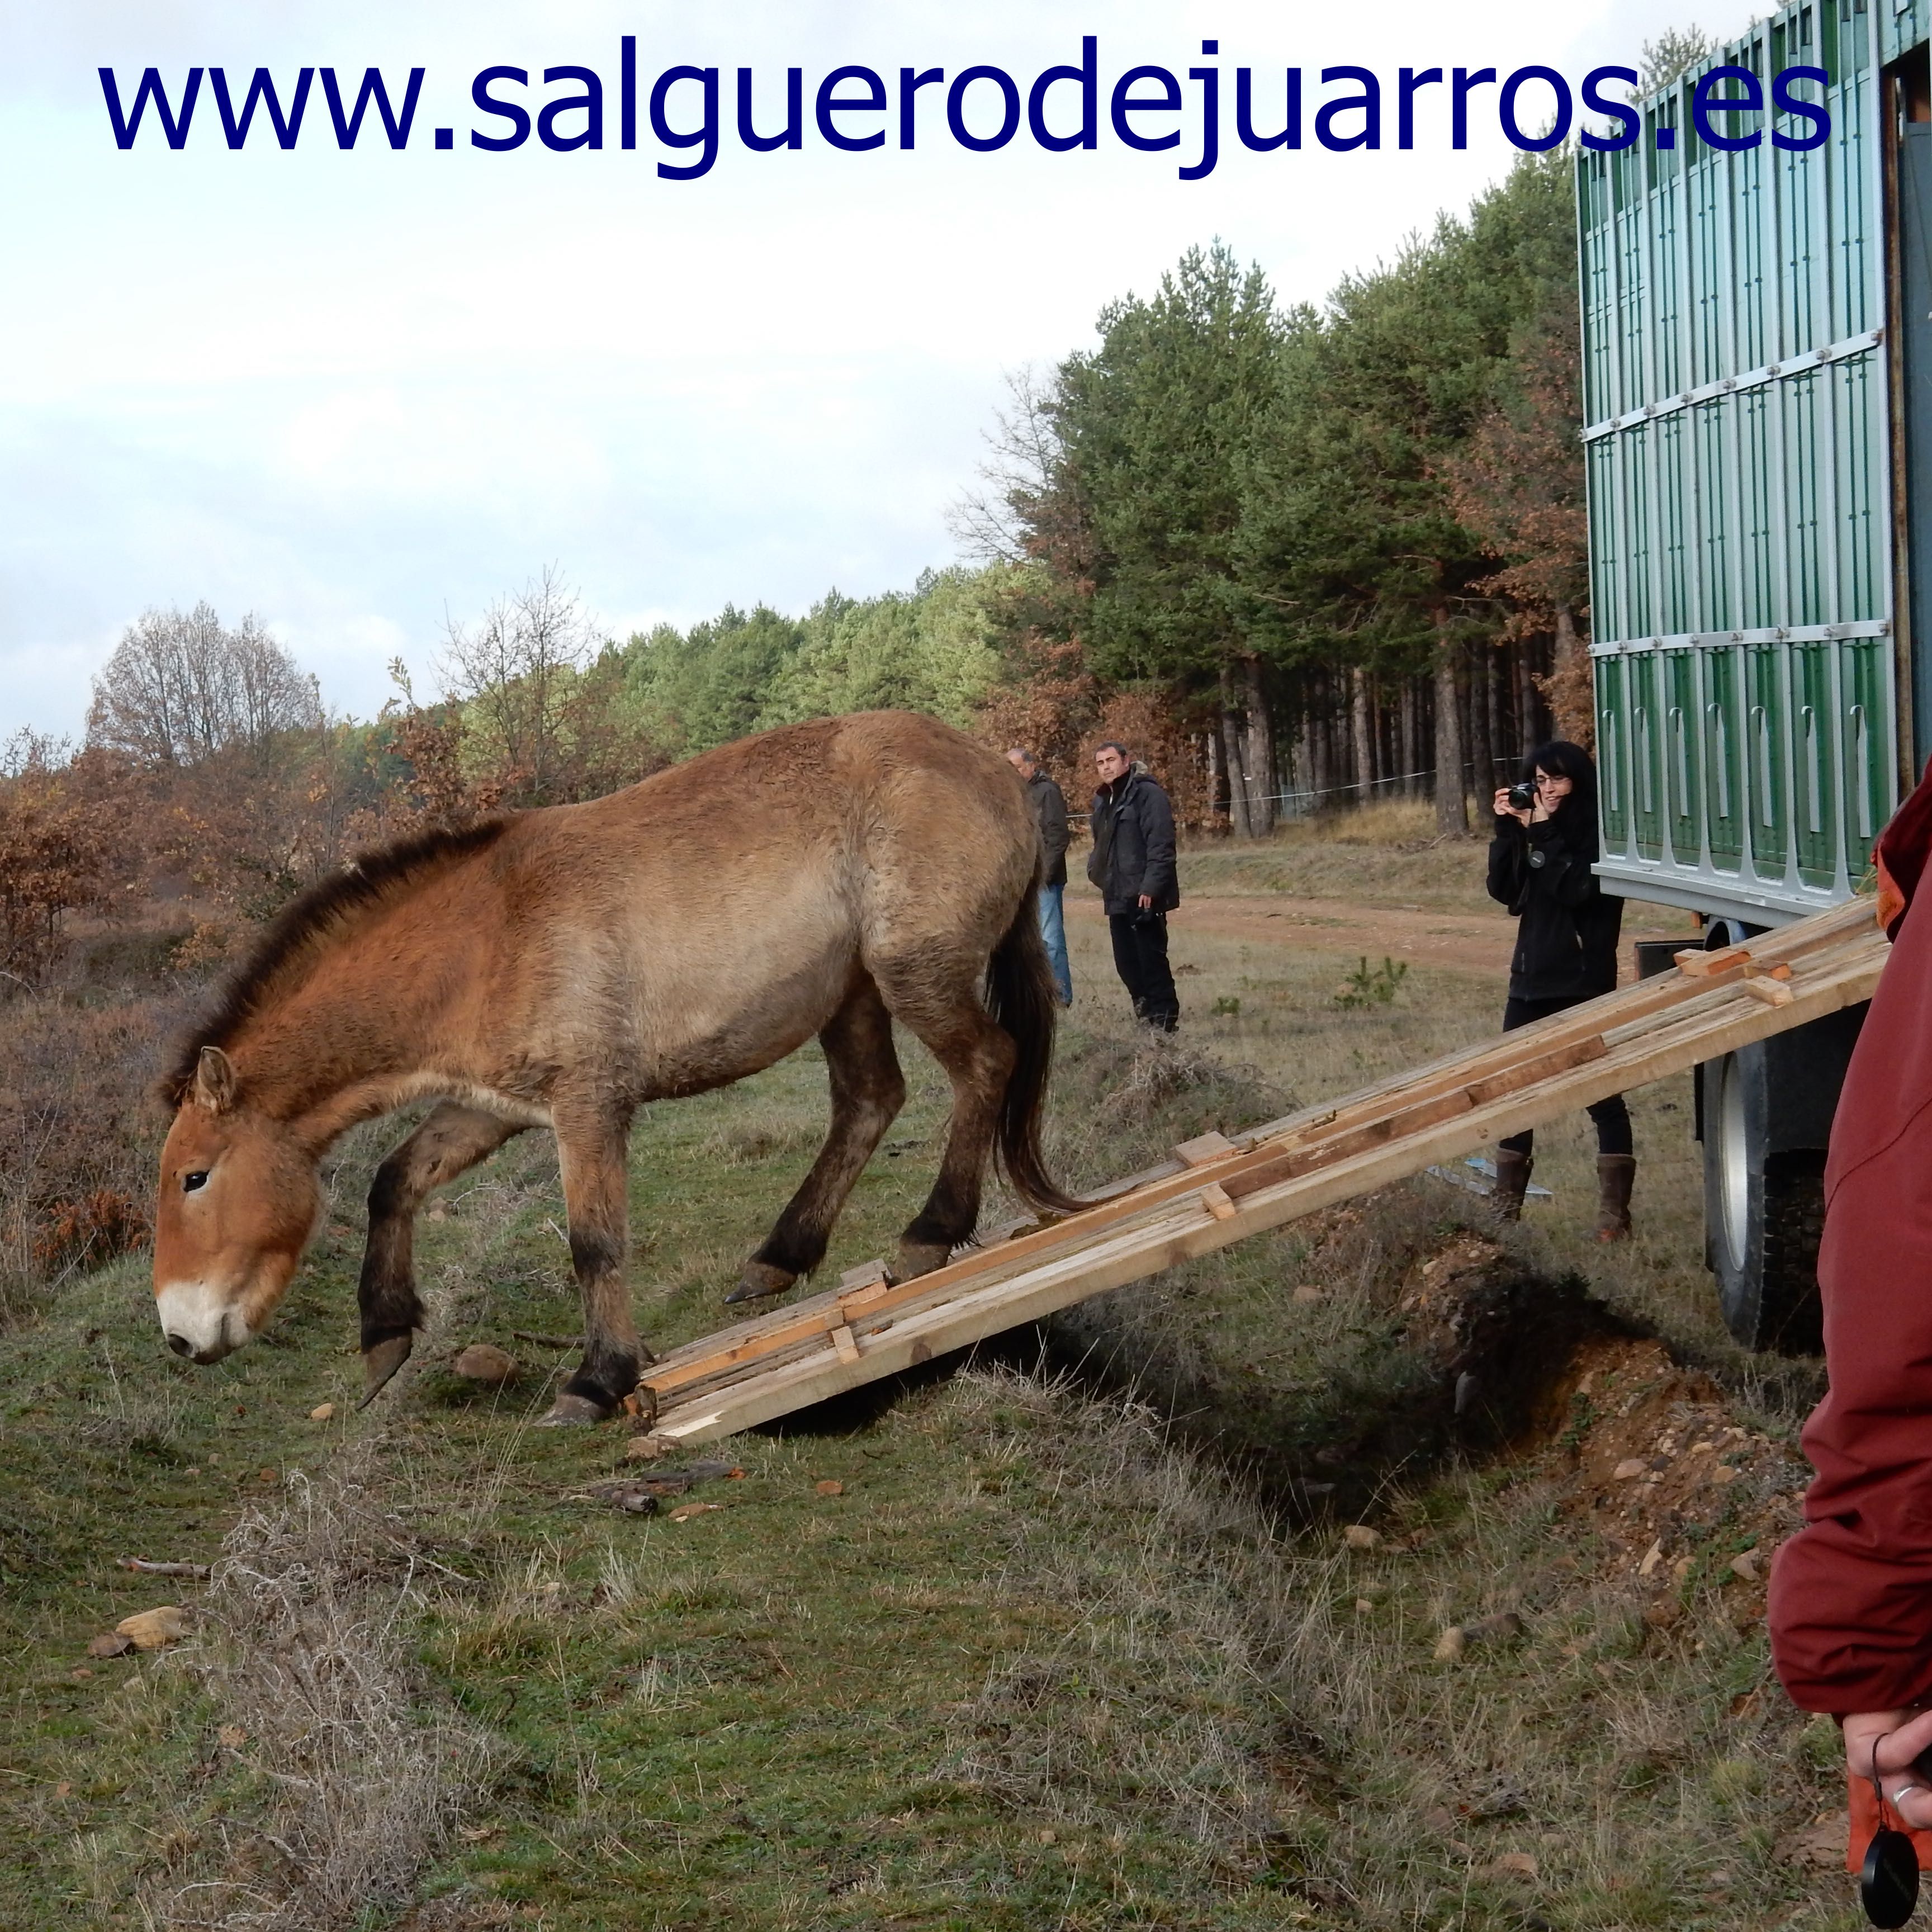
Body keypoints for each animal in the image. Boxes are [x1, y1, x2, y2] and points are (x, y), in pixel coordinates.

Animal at [150, 710, 1076, 1424]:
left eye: (196, 1177)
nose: (179, 1335)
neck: (488, 933)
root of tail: (991, 767)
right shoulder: (494, 1107)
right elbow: (395, 1180)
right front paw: (385, 1337)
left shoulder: (588, 1105)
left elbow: (594, 1244)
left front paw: (599, 1381)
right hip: (851, 995)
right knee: (871, 1100)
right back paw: (777, 1258)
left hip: (912, 973)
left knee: (985, 1063)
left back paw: (930, 1233)